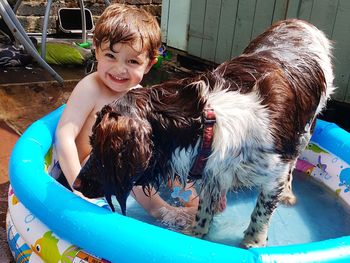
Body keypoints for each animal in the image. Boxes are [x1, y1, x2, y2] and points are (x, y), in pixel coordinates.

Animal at [73, 19, 334, 249]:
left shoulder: (272, 175)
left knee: (294, 162)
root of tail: (298, 21)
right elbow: (204, 212)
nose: (75, 184)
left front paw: (253, 242)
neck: (208, 123)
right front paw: (195, 234)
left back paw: (288, 194)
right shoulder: (212, 171)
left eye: (101, 149)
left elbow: (261, 212)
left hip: (307, 128)